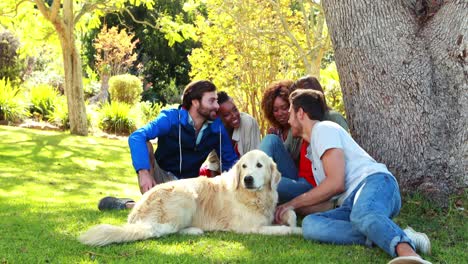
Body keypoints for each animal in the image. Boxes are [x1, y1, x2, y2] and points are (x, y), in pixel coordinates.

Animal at [78, 151, 302, 245]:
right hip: (186, 195)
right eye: (244, 166)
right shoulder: (252, 228)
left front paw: (290, 219)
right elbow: (285, 230)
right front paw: (298, 230)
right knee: (160, 231)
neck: (252, 196)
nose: (247, 179)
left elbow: (289, 213)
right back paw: (194, 230)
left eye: (259, 165)